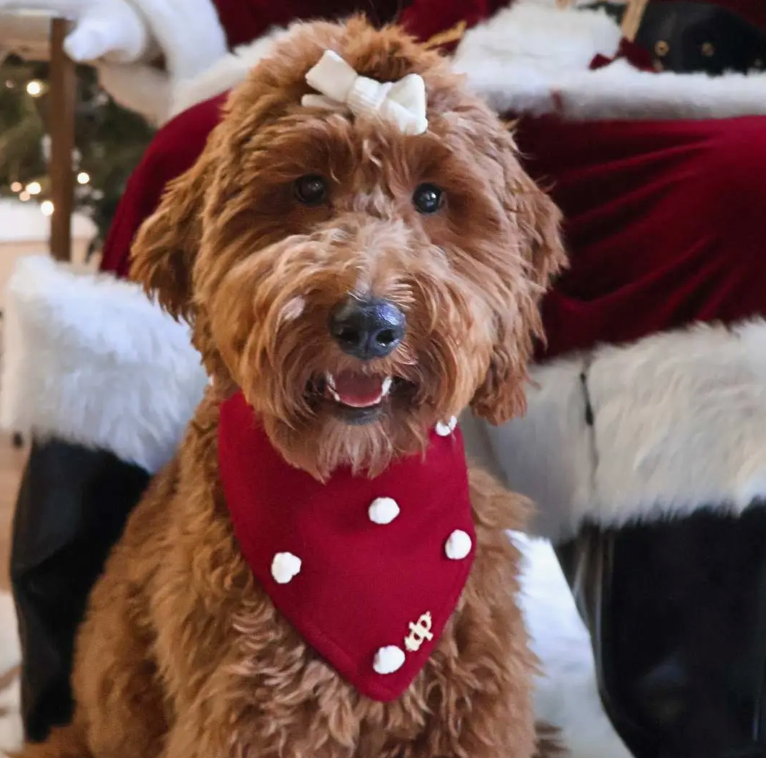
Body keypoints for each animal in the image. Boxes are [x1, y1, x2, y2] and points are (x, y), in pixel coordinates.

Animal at [22, 14, 564, 758]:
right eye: (309, 188)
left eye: (430, 197)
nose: (369, 324)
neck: (360, 496)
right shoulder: (253, 715)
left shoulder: (475, 708)